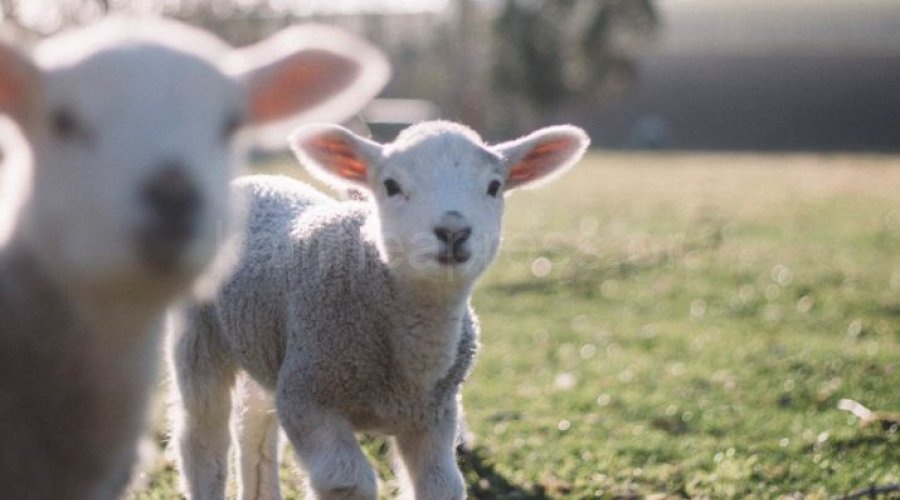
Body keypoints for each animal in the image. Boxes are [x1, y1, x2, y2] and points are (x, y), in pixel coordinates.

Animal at [170, 120, 589, 499]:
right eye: (391, 185)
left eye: (494, 186)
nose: (453, 232)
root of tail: (255, 180)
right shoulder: (307, 396)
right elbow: (347, 481)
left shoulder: (434, 414)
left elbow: (442, 486)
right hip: (199, 336)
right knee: (202, 438)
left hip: (266, 343)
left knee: (254, 428)